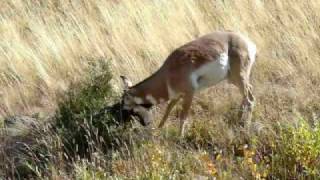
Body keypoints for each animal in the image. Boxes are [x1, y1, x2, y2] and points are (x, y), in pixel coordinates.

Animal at [121, 31, 256, 136]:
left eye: (128, 108)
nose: (146, 123)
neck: (168, 73)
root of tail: (247, 42)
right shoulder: (177, 95)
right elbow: (168, 110)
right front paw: (158, 129)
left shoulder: (189, 94)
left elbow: (183, 116)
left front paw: (180, 137)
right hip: (233, 79)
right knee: (248, 95)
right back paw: (238, 120)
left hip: (239, 77)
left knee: (249, 99)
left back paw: (245, 128)